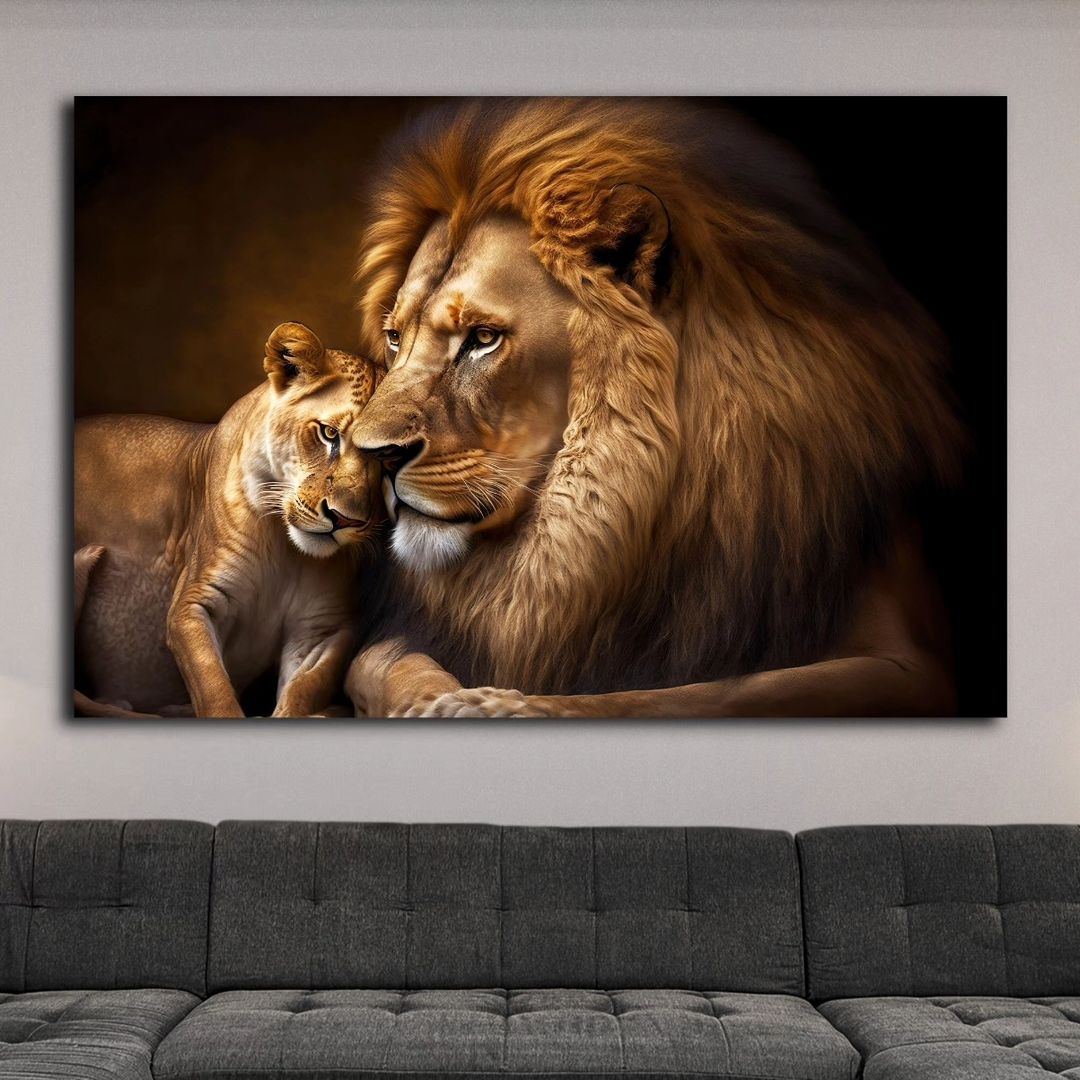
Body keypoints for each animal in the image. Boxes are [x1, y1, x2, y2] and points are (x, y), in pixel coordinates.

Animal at [75, 322, 384, 718]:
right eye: (329, 434)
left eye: (389, 459)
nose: (343, 519)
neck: (284, 552)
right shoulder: (193, 604)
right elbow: (214, 688)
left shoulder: (322, 628)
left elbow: (304, 689)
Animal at [344, 97, 965, 718]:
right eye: (395, 339)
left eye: (482, 338)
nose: (373, 456)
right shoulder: (396, 640)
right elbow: (387, 666)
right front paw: (436, 701)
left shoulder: (913, 664)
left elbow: (684, 695)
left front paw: (499, 706)